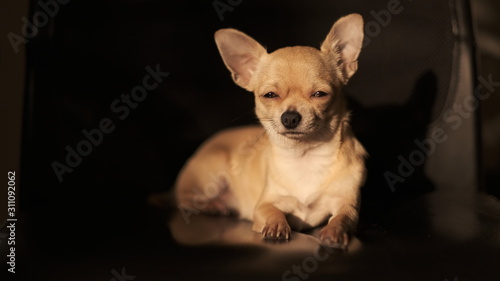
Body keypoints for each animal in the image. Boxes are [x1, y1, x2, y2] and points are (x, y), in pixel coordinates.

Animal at [176, 13, 368, 247]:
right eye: (270, 95)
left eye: (320, 94)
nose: (290, 117)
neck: (305, 155)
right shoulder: (264, 205)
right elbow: (271, 212)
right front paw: (276, 226)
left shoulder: (347, 205)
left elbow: (342, 218)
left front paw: (334, 232)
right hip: (214, 167)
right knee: (183, 199)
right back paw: (213, 206)